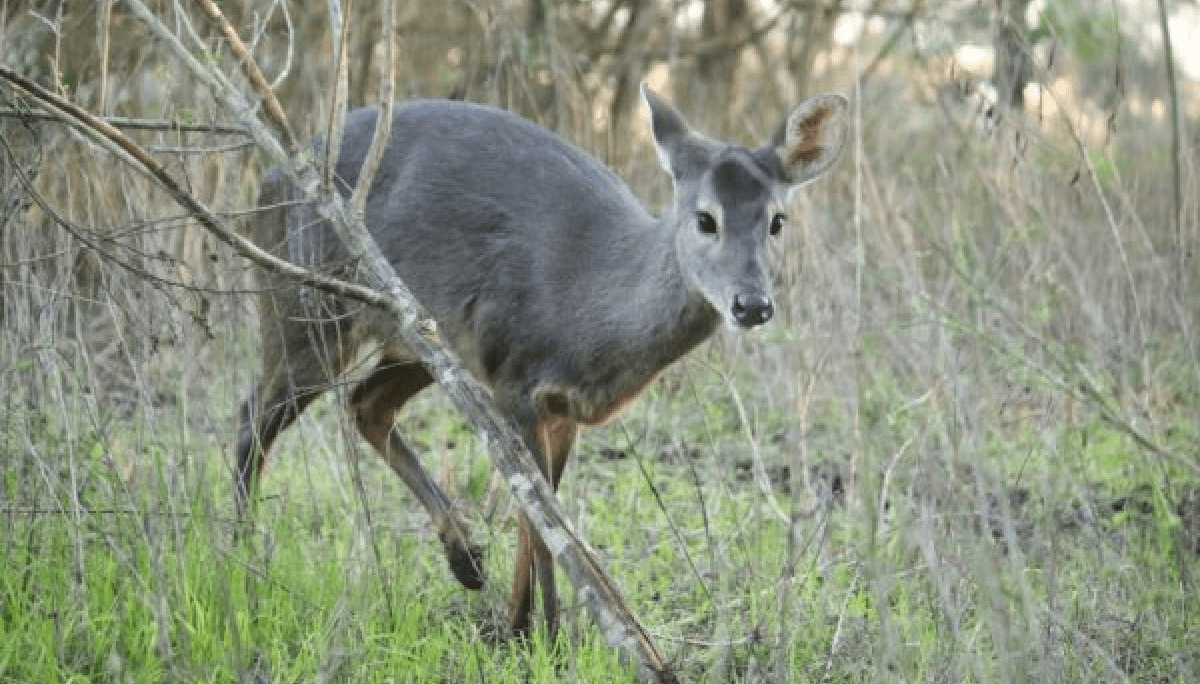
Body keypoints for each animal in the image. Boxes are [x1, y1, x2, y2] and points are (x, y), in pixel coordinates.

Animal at [236, 82, 847, 638]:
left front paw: (516, 625)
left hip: (415, 335)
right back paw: (239, 561)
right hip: (303, 307)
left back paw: (465, 559)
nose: (752, 304)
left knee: (365, 404)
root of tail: (269, 181)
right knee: (253, 418)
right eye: (705, 218)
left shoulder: (562, 406)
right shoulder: (516, 379)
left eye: (777, 220)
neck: (589, 312)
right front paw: (549, 637)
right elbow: (541, 515)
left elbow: (541, 513)